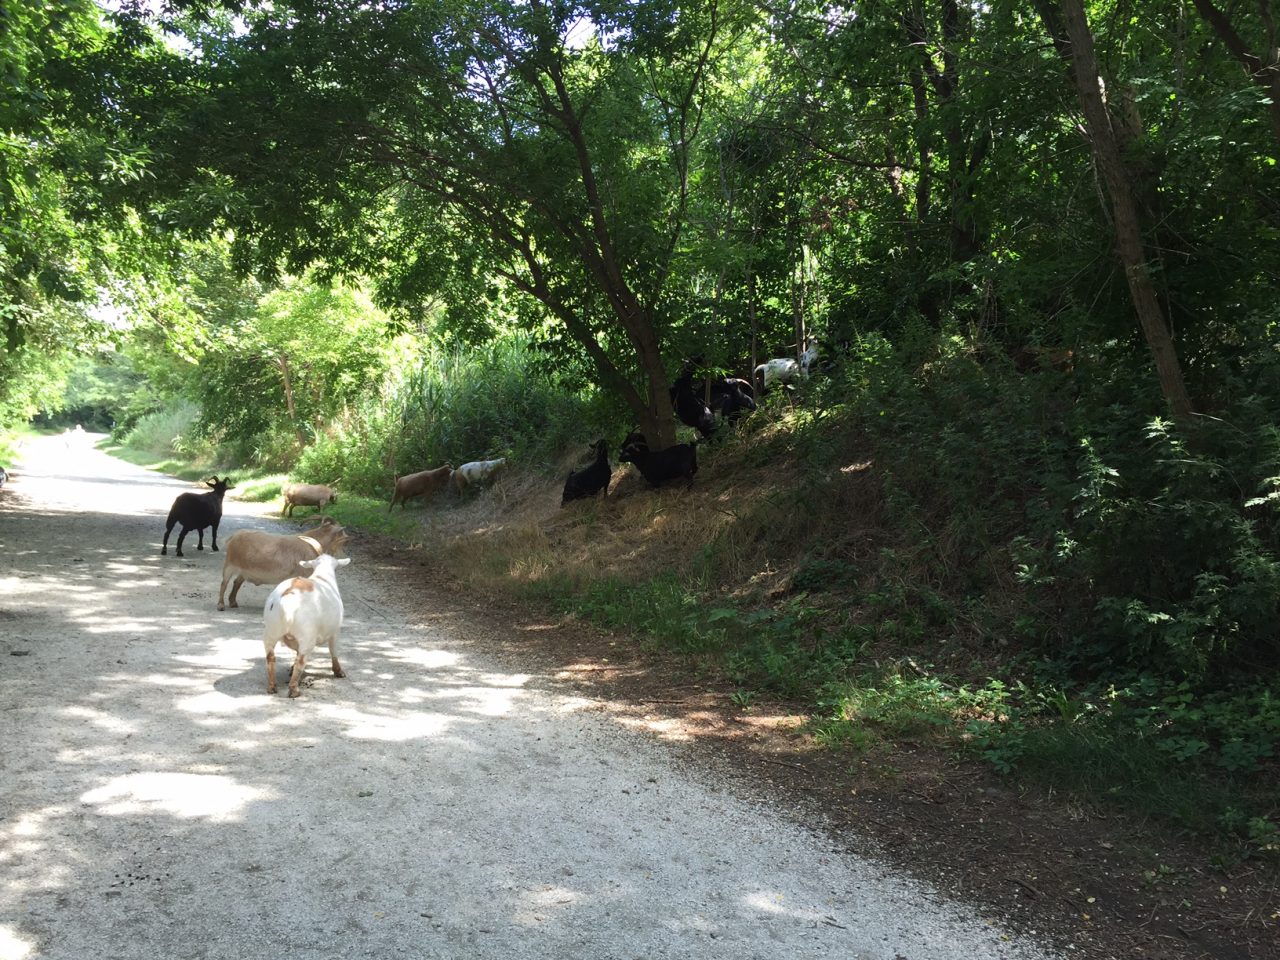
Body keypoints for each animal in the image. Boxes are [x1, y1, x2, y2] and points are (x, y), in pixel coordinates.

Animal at [217, 522, 350, 611]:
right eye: (343, 538)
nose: (345, 555)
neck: (311, 543)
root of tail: (234, 536)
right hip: (229, 565)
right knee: (224, 583)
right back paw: (221, 605)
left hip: (245, 571)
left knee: (236, 582)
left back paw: (233, 603)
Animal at [262, 555, 350, 701]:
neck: (322, 576)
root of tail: (288, 598)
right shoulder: (335, 630)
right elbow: (333, 651)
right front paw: (339, 671)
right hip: (307, 636)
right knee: (301, 660)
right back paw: (294, 690)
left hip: (271, 630)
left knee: (271, 657)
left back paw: (272, 686)